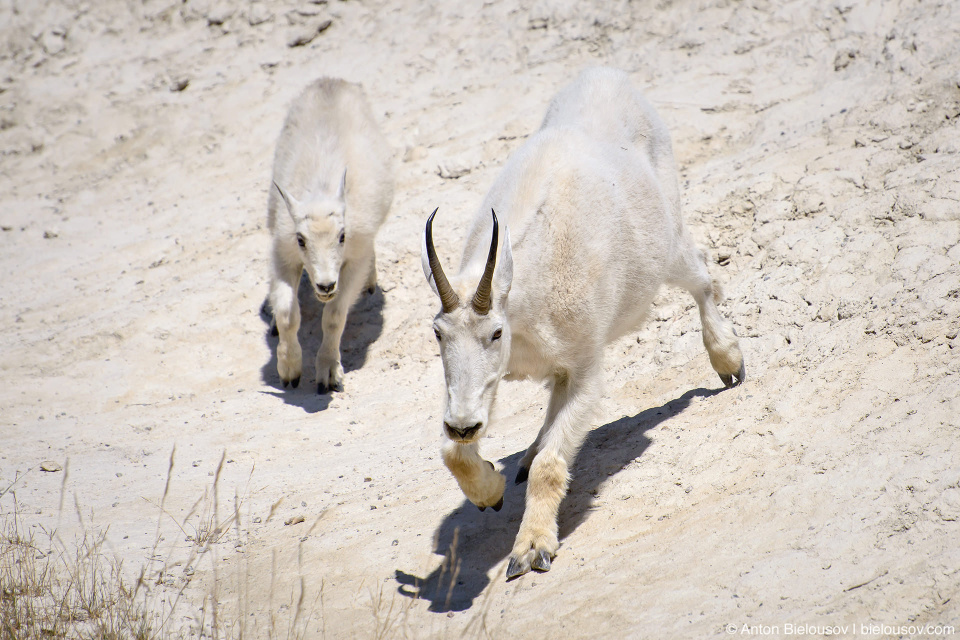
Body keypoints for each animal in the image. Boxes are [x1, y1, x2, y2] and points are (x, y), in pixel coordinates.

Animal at [266, 77, 394, 392]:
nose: (325, 285)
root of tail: (330, 81)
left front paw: (328, 372)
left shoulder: (355, 257)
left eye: (342, 236)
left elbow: (334, 317)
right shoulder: (283, 253)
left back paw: (371, 283)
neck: (320, 191)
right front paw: (289, 369)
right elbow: (288, 314)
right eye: (301, 240)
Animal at [420, 66, 744, 580]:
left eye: (495, 332)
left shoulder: (585, 368)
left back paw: (728, 360)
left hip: (667, 248)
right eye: (438, 333)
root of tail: (607, 74)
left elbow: (554, 463)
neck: (522, 301)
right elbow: (454, 450)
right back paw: (524, 455)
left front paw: (532, 548)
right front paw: (490, 492)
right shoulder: (489, 382)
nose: (463, 424)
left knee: (703, 274)